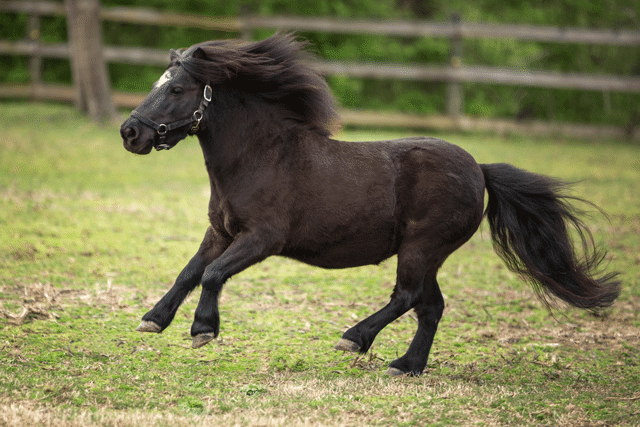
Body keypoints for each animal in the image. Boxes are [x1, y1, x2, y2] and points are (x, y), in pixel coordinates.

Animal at [120, 33, 620, 376]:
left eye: (177, 90)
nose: (130, 132)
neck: (260, 157)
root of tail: (479, 168)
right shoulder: (220, 231)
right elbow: (189, 272)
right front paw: (153, 320)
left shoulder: (262, 238)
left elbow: (212, 273)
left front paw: (203, 330)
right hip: (427, 254)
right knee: (430, 306)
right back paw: (406, 365)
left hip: (421, 247)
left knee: (408, 297)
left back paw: (354, 339)